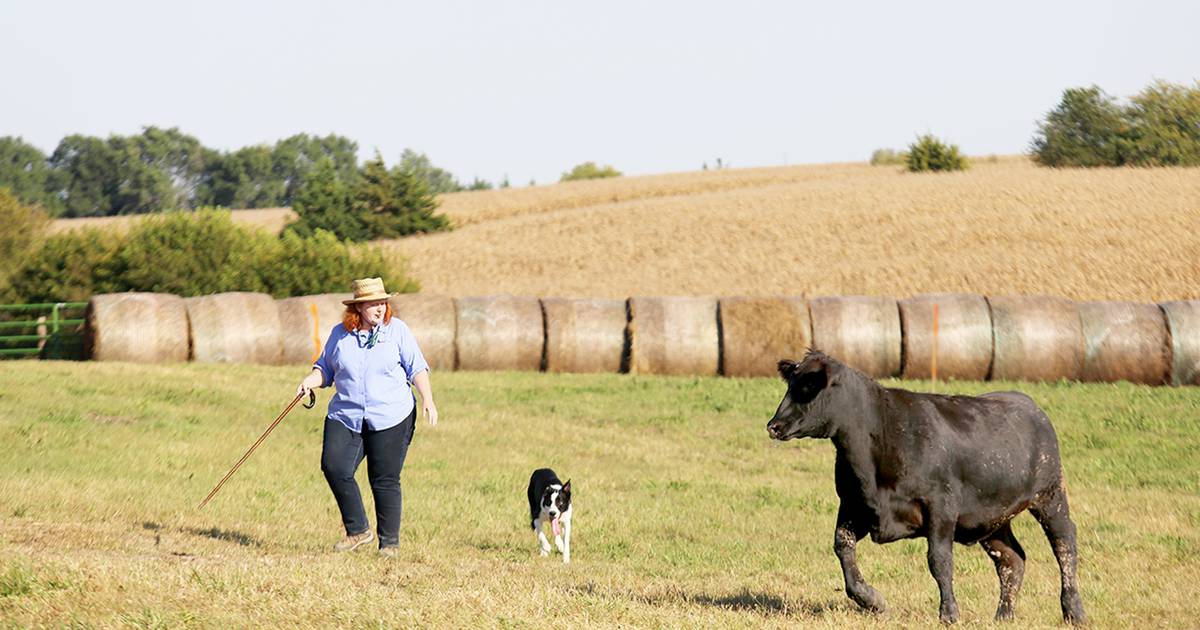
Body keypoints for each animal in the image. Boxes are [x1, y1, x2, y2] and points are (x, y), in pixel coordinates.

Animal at [765, 350, 1085, 624]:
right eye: (790, 384)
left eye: (809, 387)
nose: (773, 425)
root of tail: (1029, 405)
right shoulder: (853, 504)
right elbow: (843, 548)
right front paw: (873, 601)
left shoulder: (941, 507)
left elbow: (939, 560)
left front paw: (949, 613)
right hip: (992, 517)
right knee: (1012, 560)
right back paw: (1003, 616)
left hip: (1051, 495)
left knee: (1064, 544)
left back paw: (1074, 611)